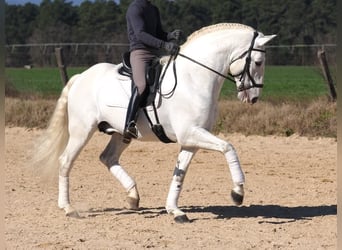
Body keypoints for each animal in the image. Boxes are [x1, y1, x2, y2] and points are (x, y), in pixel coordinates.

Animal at [33, 23, 276, 223]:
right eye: (258, 62)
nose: (253, 97)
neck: (195, 78)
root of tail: (81, 77)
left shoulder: (192, 139)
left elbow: (179, 173)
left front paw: (175, 211)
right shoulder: (191, 133)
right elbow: (229, 147)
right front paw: (238, 192)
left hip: (121, 133)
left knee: (107, 158)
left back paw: (133, 196)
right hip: (82, 131)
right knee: (66, 161)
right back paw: (68, 208)